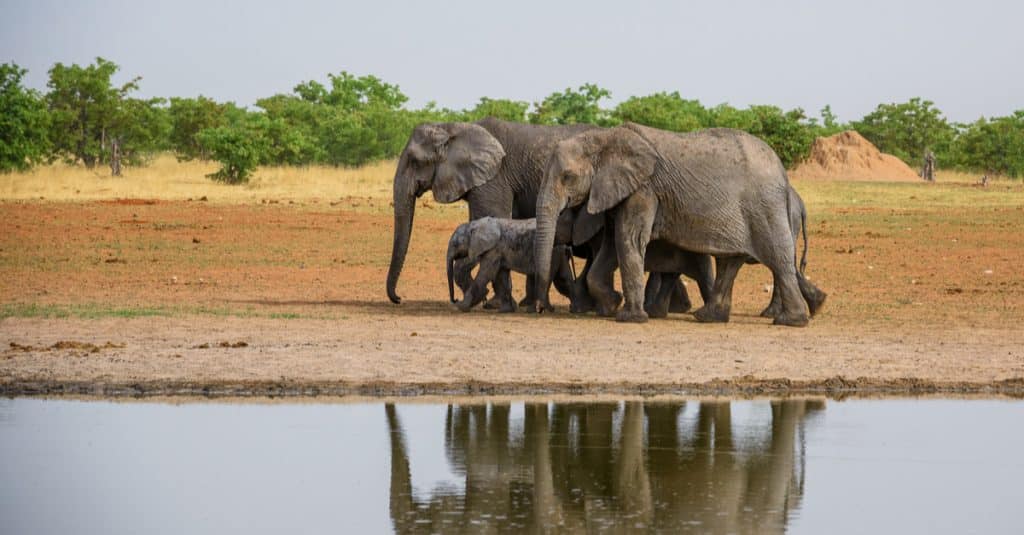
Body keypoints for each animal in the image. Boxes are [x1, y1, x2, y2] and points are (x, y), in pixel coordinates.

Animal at [446, 214, 581, 309]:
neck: (475, 224)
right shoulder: (499, 251)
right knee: (564, 278)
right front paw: (505, 311)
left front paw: (461, 307)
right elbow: (501, 274)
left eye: (455, 244)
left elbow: (486, 273)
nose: (455, 299)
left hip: (553, 253)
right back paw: (574, 309)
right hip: (558, 253)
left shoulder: (495, 249)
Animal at [532, 124, 827, 323]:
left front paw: (629, 318)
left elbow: (628, 240)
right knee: (731, 261)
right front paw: (612, 305)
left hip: (764, 208)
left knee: (778, 258)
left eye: (568, 177)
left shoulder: (643, 190)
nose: (540, 308)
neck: (605, 138)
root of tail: (783, 173)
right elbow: (612, 246)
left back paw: (791, 320)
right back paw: (708, 317)